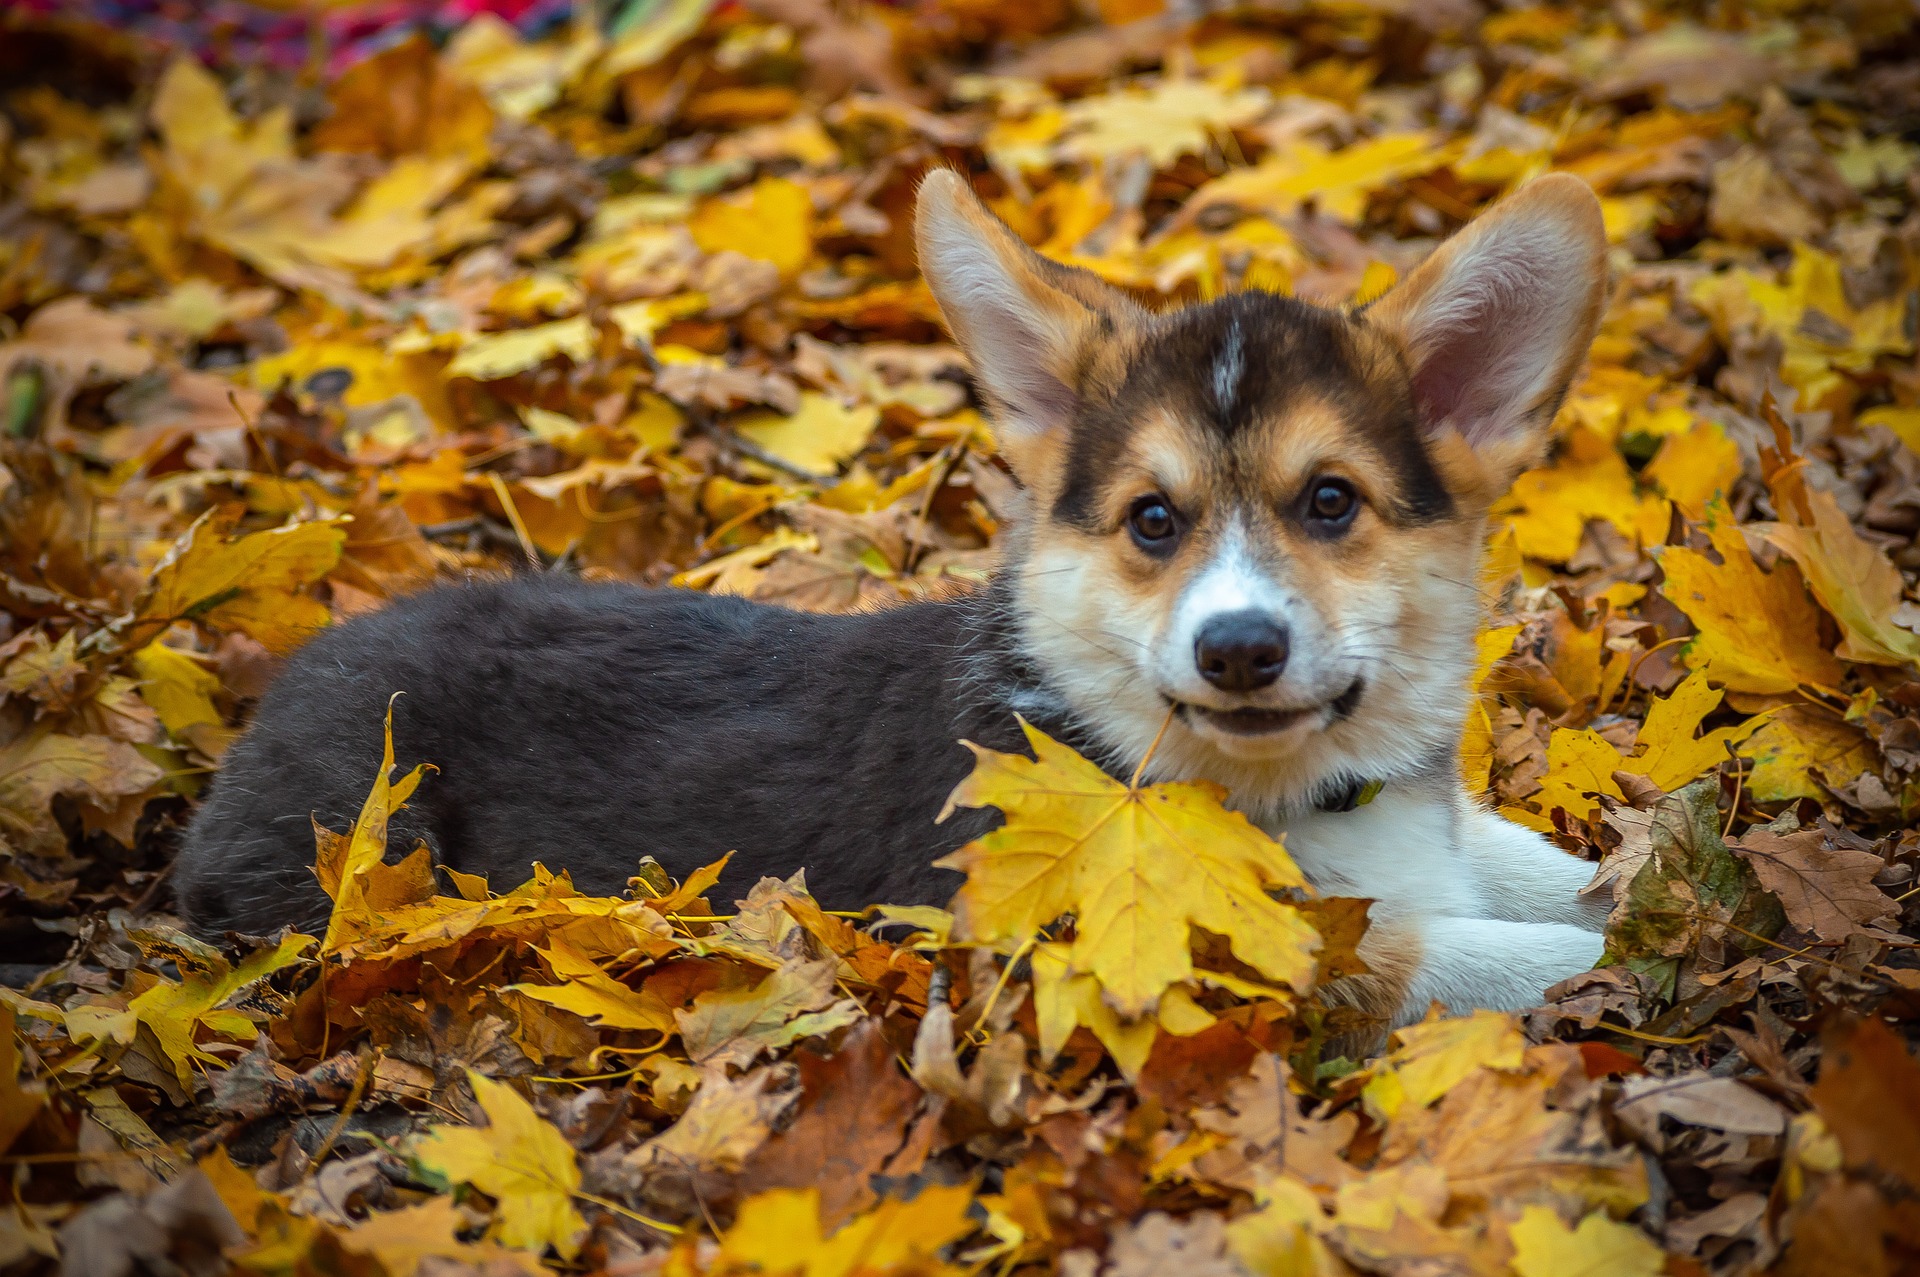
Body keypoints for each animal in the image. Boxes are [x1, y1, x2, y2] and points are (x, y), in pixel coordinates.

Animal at [183, 171, 1620, 1029]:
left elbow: (1545, 871)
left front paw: (1641, 876)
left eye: (1330, 502)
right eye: (1153, 521)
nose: (1240, 650)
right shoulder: (1201, 947)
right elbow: (1487, 955)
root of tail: (294, 670)